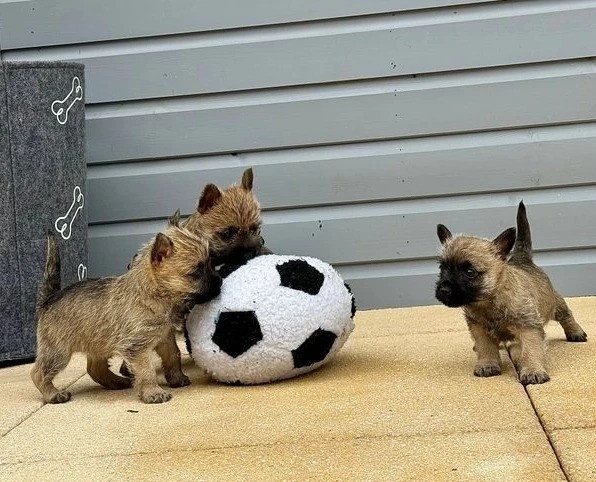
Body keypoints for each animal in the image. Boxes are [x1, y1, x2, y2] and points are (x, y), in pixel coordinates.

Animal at [30, 218, 221, 402]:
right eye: (196, 272)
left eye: (210, 263)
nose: (220, 282)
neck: (153, 294)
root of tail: (49, 299)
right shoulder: (137, 348)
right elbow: (146, 370)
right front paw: (153, 392)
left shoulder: (165, 337)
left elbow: (174, 356)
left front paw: (177, 378)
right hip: (58, 352)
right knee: (38, 373)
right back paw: (53, 395)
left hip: (100, 344)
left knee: (95, 369)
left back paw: (117, 382)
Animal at [434, 201, 588, 386]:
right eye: (442, 268)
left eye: (470, 272)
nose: (443, 290)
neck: (490, 301)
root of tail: (523, 259)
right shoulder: (479, 328)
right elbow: (485, 346)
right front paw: (487, 364)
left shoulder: (528, 328)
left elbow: (530, 350)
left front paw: (532, 370)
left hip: (555, 302)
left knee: (566, 315)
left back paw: (575, 332)